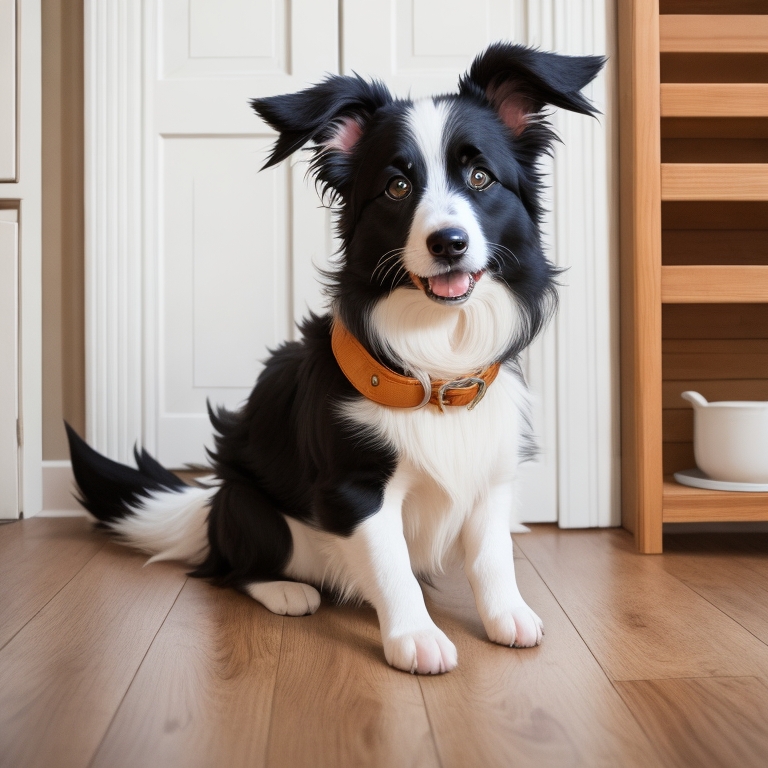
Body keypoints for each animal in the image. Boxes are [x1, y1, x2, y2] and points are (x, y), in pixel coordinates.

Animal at [66, 45, 604, 676]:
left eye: (480, 177)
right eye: (397, 186)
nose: (448, 243)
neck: (436, 369)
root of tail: (208, 510)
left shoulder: (491, 472)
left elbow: (492, 555)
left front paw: (507, 616)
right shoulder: (356, 488)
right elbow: (393, 569)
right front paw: (415, 638)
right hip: (250, 507)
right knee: (232, 570)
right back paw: (285, 590)